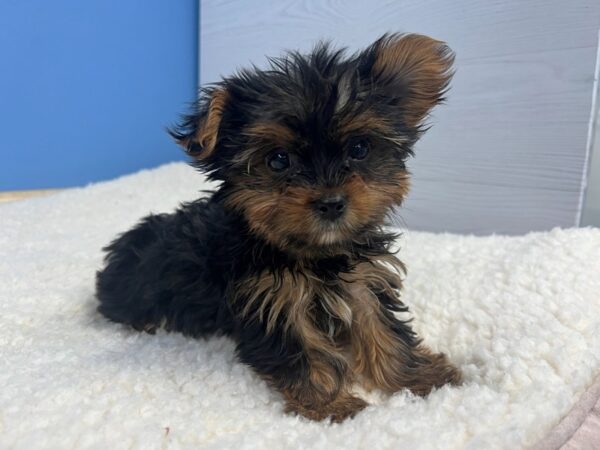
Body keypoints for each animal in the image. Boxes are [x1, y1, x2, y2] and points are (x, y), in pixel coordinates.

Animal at [97, 32, 464, 422]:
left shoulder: (364, 280)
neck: (315, 254)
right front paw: (331, 405)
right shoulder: (270, 300)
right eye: (277, 160)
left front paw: (421, 377)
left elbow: (383, 329)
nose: (331, 202)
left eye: (360, 149)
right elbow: (304, 352)